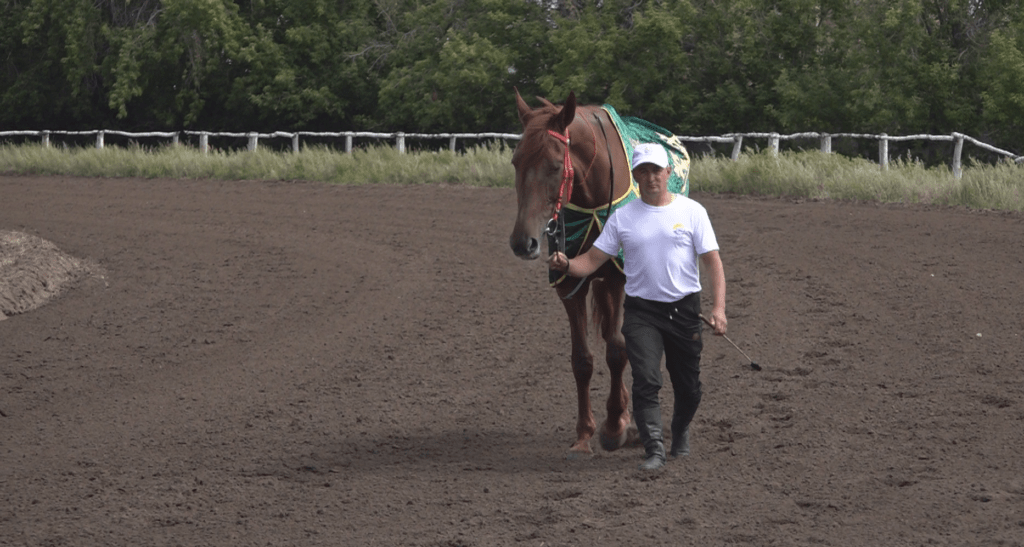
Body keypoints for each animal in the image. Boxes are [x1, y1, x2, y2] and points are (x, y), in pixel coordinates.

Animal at [505, 90, 634, 458]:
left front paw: (615, 426)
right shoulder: (569, 282)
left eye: (553, 165)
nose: (523, 242)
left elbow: (617, 349)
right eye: (515, 162)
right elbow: (582, 360)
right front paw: (584, 433)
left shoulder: (618, 278)